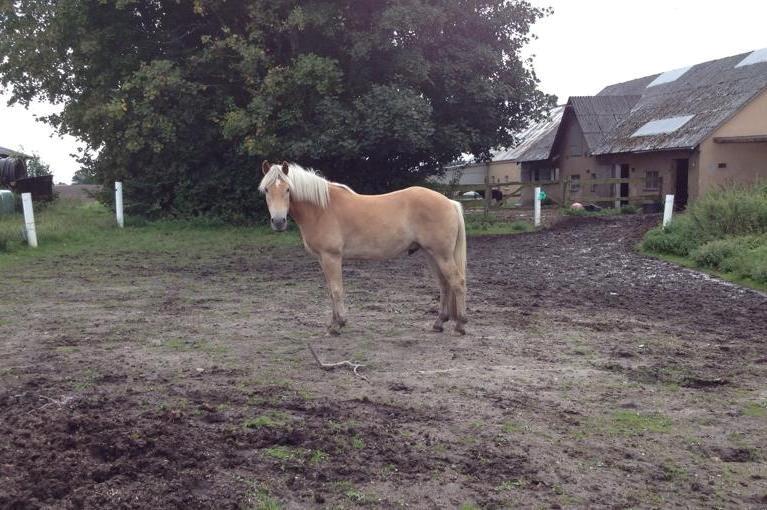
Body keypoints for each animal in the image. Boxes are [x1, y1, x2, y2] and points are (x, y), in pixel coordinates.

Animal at [258, 160, 468, 334]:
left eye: (287, 189)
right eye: (267, 190)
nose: (278, 222)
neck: (321, 209)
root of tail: (449, 202)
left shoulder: (331, 257)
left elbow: (337, 289)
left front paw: (338, 324)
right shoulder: (322, 259)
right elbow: (330, 290)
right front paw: (333, 323)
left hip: (442, 255)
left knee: (457, 282)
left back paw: (460, 325)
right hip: (431, 254)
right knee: (444, 284)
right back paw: (439, 322)